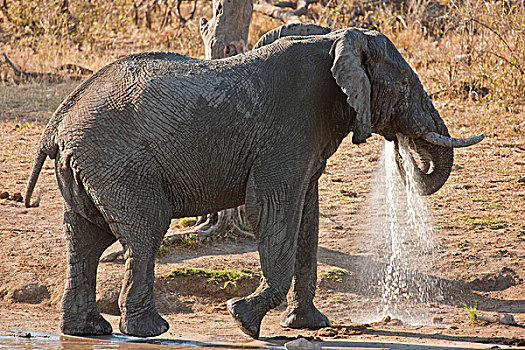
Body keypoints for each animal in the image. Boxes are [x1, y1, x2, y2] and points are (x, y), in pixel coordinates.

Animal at [24, 23, 484, 340]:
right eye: (405, 85)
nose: (402, 153)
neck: (334, 39)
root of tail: (57, 122)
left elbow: (307, 219)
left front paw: (307, 324)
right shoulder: (289, 129)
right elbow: (273, 210)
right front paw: (243, 320)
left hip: (90, 166)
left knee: (85, 238)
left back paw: (87, 331)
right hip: (118, 162)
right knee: (145, 230)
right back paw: (151, 331)